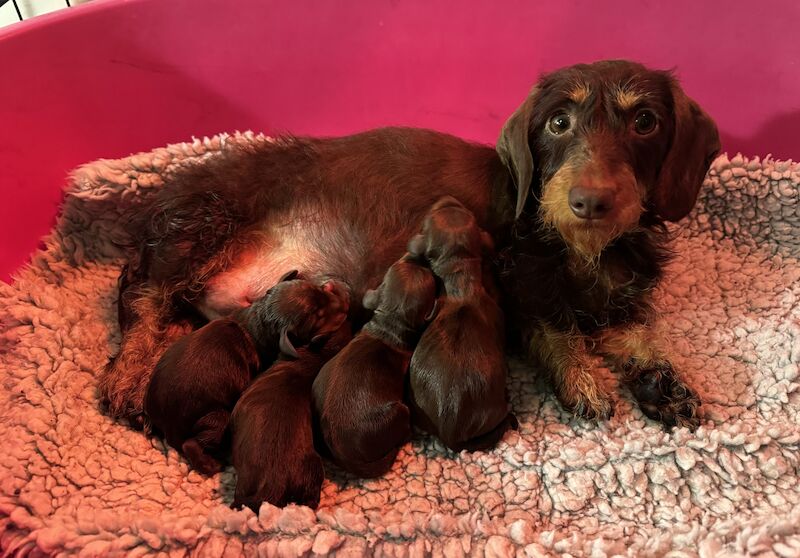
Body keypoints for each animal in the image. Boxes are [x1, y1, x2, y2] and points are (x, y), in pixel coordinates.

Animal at [143, 272, 346, 476]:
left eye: (319, 289)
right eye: (318, 317)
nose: (345, 293)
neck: (257, 320)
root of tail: (168, 428)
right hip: (216, 417)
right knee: (192, 443)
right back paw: (212, 465)